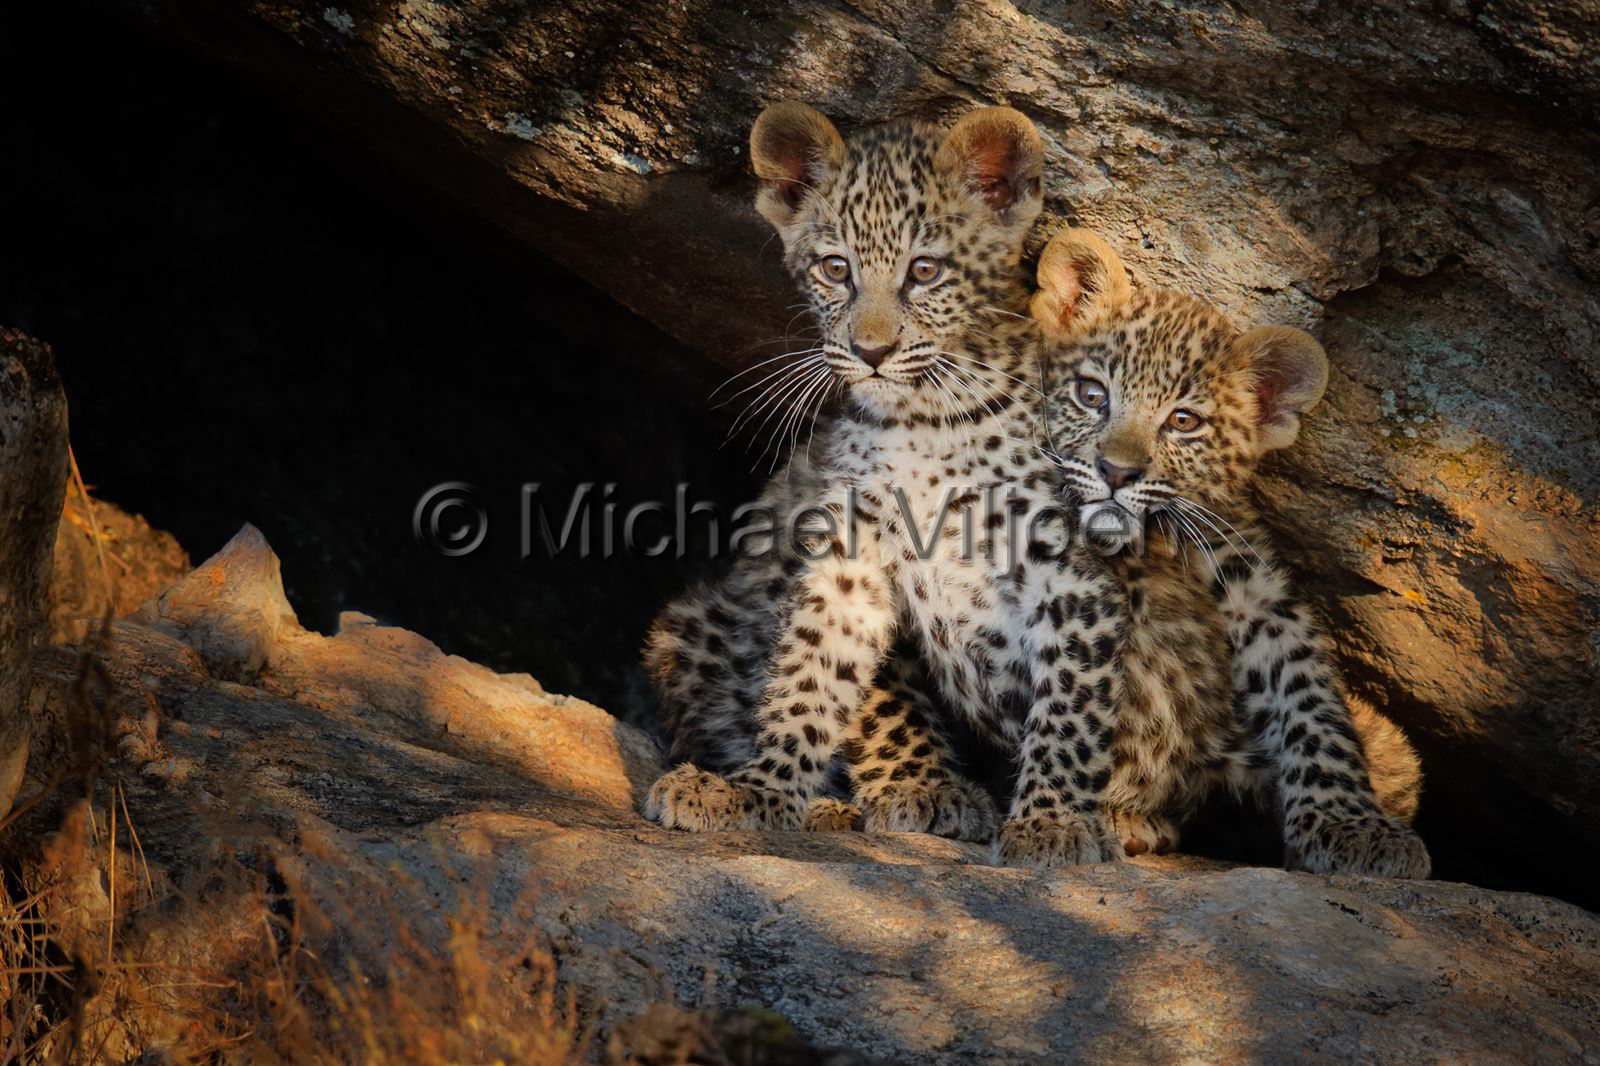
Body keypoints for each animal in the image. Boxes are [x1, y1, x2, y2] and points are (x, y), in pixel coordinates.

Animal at [643, 101, 1131, 866]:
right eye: (835, 269)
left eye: (924, 270)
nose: (871, 352)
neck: (921, 421)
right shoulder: (850, 560)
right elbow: (820, 682)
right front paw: (763, 792)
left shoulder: (1068, 572)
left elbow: (1069, 709)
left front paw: (1052, 822)